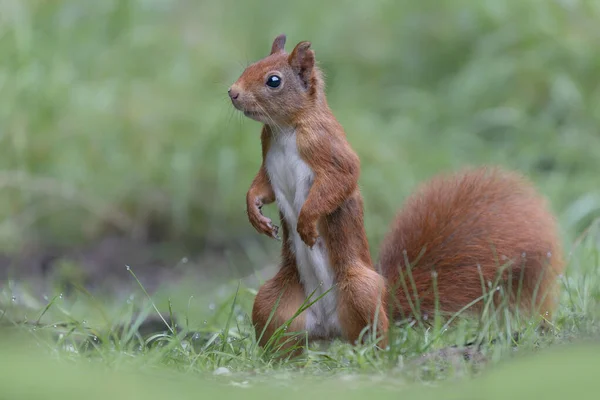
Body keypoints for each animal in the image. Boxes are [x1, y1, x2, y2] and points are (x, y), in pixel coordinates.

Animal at [227, 35, 564, 354]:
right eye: (249, 66)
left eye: (274, 80)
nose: (232, 92)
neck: (285, 129)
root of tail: (329, 329)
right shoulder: (267, 155)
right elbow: (262, 186)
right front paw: (255, 213)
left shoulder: (328, 148)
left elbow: (341, 179)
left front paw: (307, 223)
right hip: (273, 303)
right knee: (280, 336)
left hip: (360, 291)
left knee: (375, 338)